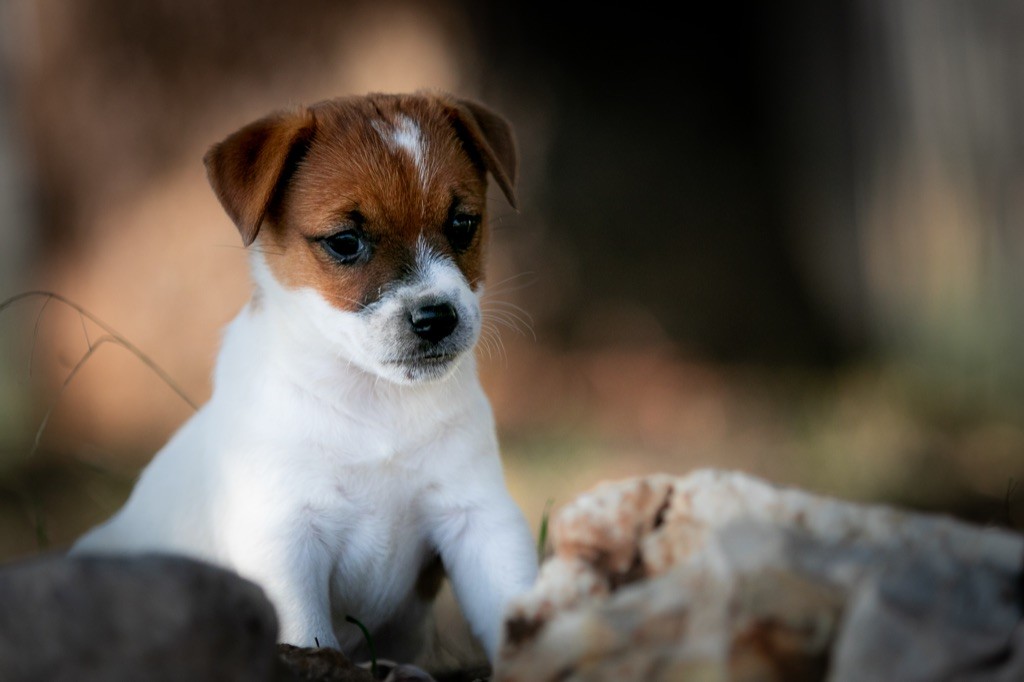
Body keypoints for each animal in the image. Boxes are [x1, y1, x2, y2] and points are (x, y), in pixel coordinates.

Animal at [68, 90, 540, 663]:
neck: (375, 402)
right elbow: (306, 632)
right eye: (345, 242)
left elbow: (513, 604)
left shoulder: (479, 518)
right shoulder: (284, 541)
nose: (436, 318)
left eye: (462, 225)